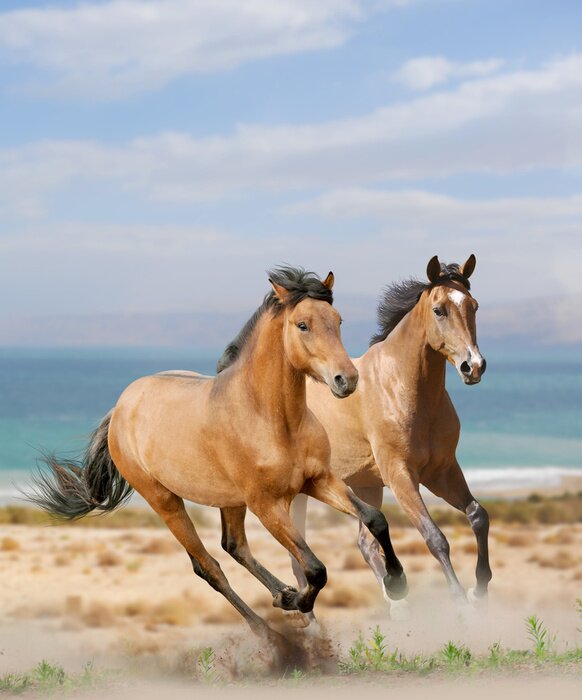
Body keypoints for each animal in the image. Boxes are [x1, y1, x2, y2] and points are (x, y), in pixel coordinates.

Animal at [28, 266, 407, 657]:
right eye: (303, 324)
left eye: (338, 320)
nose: (347, 380)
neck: (272, 418)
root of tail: (120, 408)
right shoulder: (268, 505)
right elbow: (316, 569)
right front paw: (298, 602)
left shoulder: (320, 480)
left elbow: (375, 519)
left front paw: (396, 583)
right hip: (165, 501)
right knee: (208, 566)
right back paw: (272, 632)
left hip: (229, 500)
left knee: (234, 545)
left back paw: (282, 595)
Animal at [290, 255, 490, 624]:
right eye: (439, 310)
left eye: (474, 306)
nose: (474, 367)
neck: (403, 387)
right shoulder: (400, 475)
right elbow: (435, 537)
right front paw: (459, 601)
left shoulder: (441, 471)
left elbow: (477, 516)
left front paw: (480, 590)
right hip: (298, 494)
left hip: (366, 484)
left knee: (365, 544)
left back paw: (398, 603)